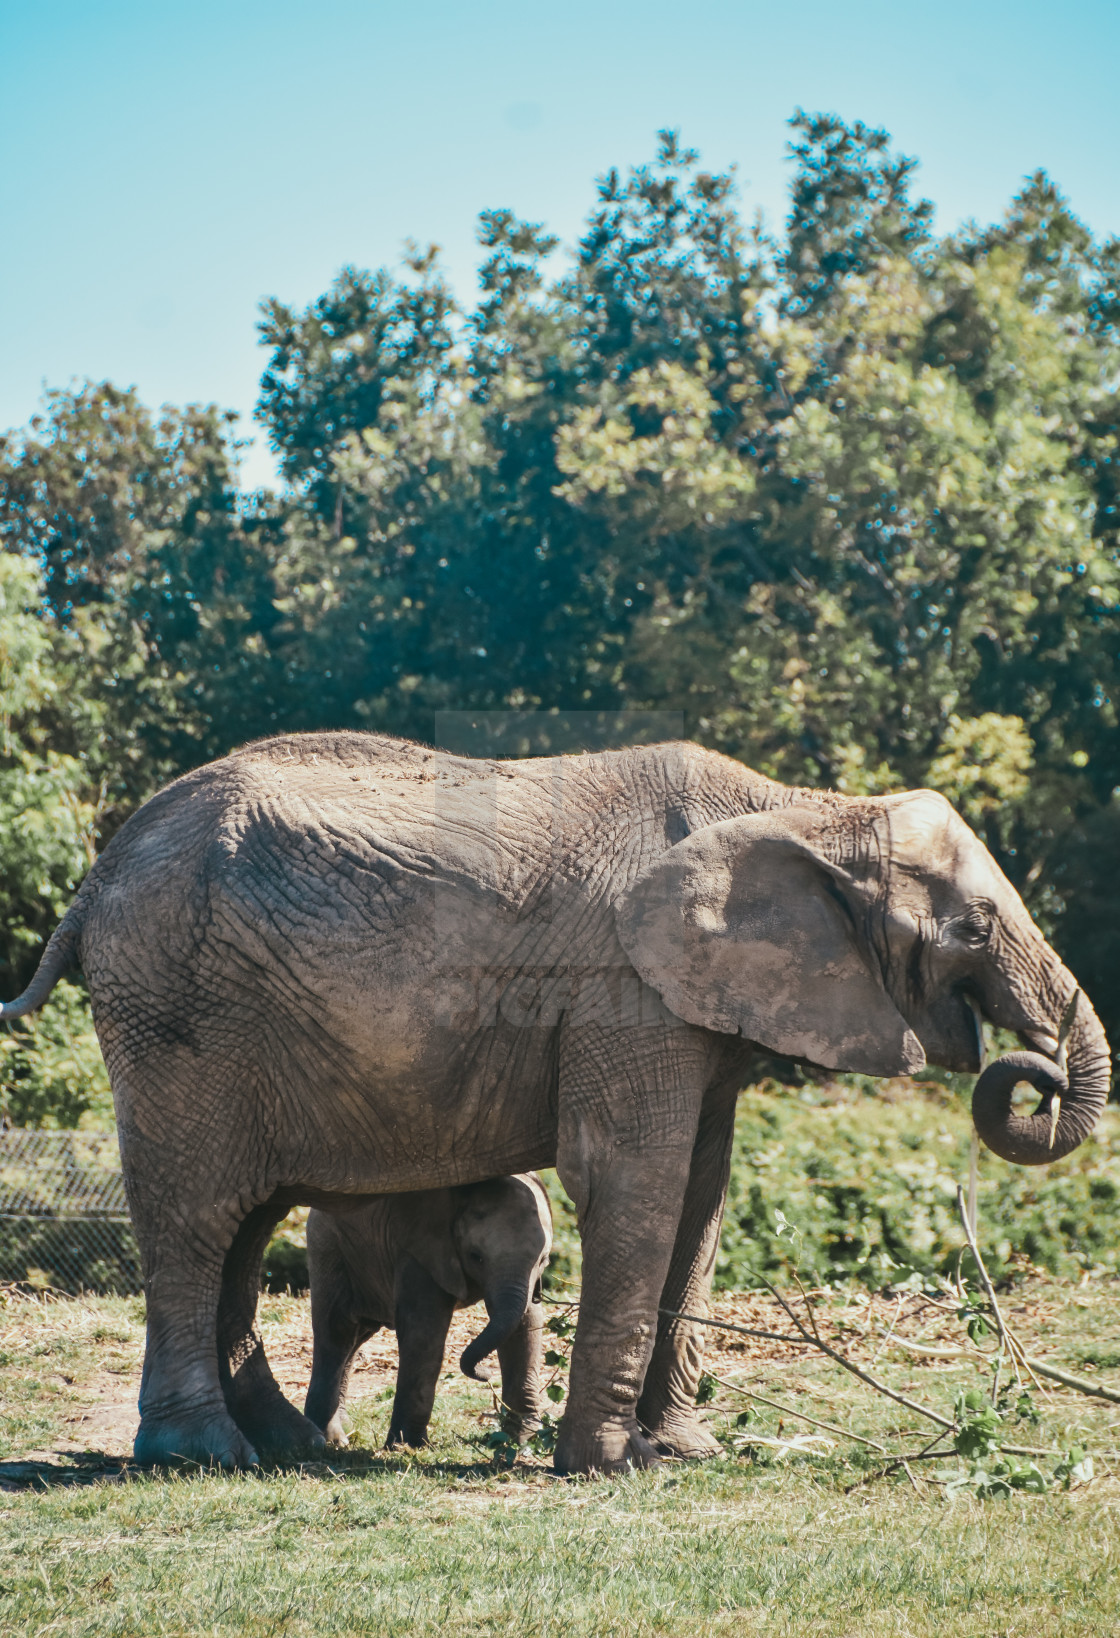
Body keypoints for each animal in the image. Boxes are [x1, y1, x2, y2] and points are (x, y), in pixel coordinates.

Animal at [304, 1179, 553, 1447]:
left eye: (543, 1260)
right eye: (476, 1257)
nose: (486, 1375)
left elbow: (526, 1324)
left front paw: (522, 1438)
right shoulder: (419, 1248)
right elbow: (424, 1330)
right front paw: (408, 1446)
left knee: (356, 1337)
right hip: (329, 1246)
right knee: (338, 1332)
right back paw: (331, 1439)